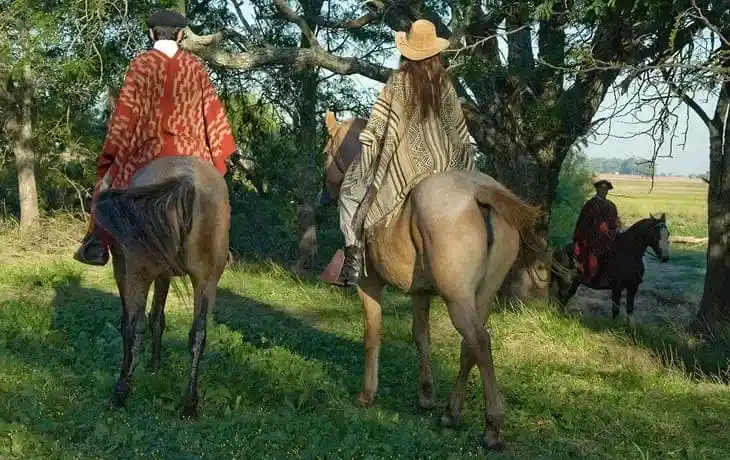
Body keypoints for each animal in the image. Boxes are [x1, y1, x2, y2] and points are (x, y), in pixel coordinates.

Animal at [94, 155, 230, 419]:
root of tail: (186, 180)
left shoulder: (124, 270)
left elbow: (132, 322)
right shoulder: (165, 274)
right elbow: (158, 317)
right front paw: (155, 366)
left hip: (137, 272)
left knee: (135, 327)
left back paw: (120, 393)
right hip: (207, 280)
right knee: (198, 333)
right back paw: (189, 405)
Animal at [319, 112, 549, 450]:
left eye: (326, 152)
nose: (324, 195)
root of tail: (480, 192)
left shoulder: (370, 286)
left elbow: (372, 334)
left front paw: (367, 394)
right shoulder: (421, 292)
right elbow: (421, 336)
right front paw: (426, 395)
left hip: (457, 300)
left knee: (479, 341)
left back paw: (492, 426)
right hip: (478, 298)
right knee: (472, 344)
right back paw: (451, 412)